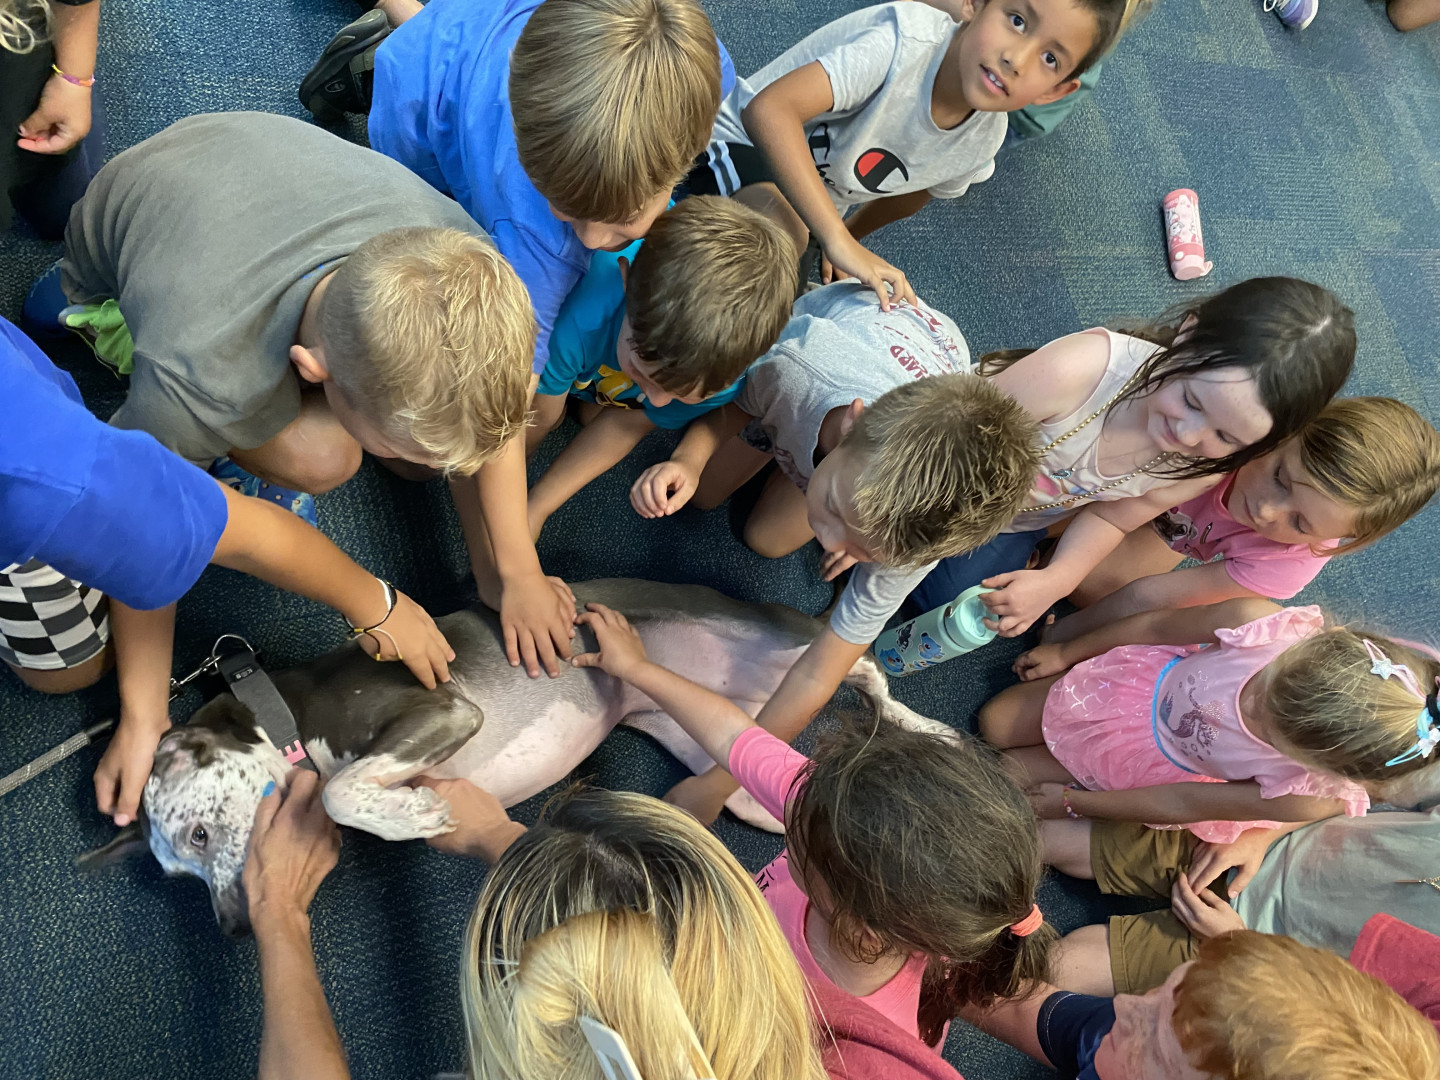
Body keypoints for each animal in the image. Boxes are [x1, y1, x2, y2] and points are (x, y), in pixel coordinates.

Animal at [83, 578, 953, 934]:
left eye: (198, 834)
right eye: (176, 874)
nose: (232, 929)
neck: (280, 712)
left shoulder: (445, 709)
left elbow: (339, 789)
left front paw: (413, 812)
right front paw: (411, 810)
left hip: (787, 640)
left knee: (867, 668)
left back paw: (931, 729)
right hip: (708, 743)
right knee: (771, 776)